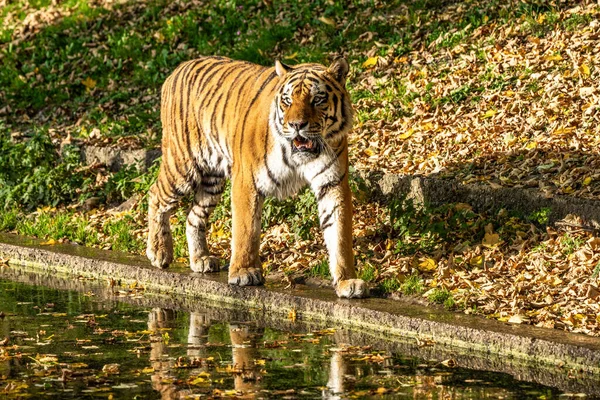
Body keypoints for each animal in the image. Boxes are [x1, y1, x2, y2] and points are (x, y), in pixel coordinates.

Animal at [146, 55, 366, 296]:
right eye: (287, 100)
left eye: (317, 99)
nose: (296, 125)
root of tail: (178, 69)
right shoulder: (246, 180)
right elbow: (246, 230)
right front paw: (244, 272)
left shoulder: (333, 184)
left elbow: (340, 235)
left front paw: (347, 281)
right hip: (183, 165)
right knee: (155, 195)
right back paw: (158, 252)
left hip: (211, 180)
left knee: (194, 216)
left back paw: (201, 259)